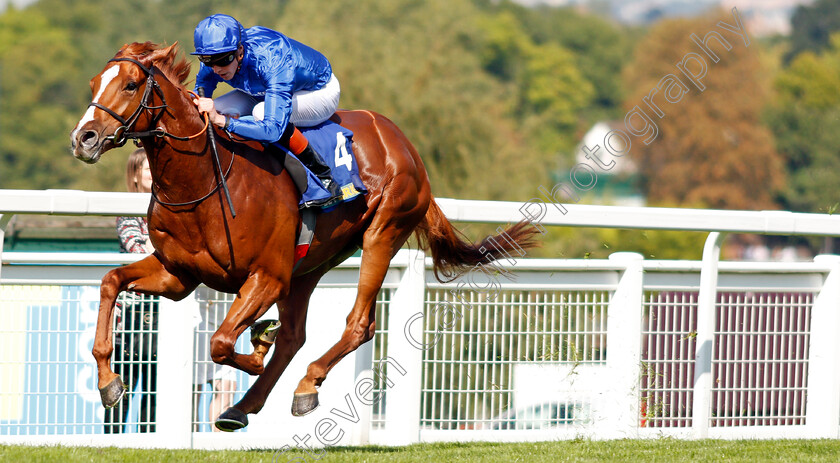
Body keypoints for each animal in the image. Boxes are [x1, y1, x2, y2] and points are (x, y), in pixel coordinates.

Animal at [69, 43, 536, 432]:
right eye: (93, 83)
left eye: (130, 85)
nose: (82, 138)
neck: (202, 180)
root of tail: (402, 141)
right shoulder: (179, 275)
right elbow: (111, 280)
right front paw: (109, 382)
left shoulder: (267, 276)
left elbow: (221, 343)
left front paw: (256, 346)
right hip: (310, 263)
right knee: (295, 336)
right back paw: (244, 406)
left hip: (382, 232)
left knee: (358, 325)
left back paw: (305, 384)